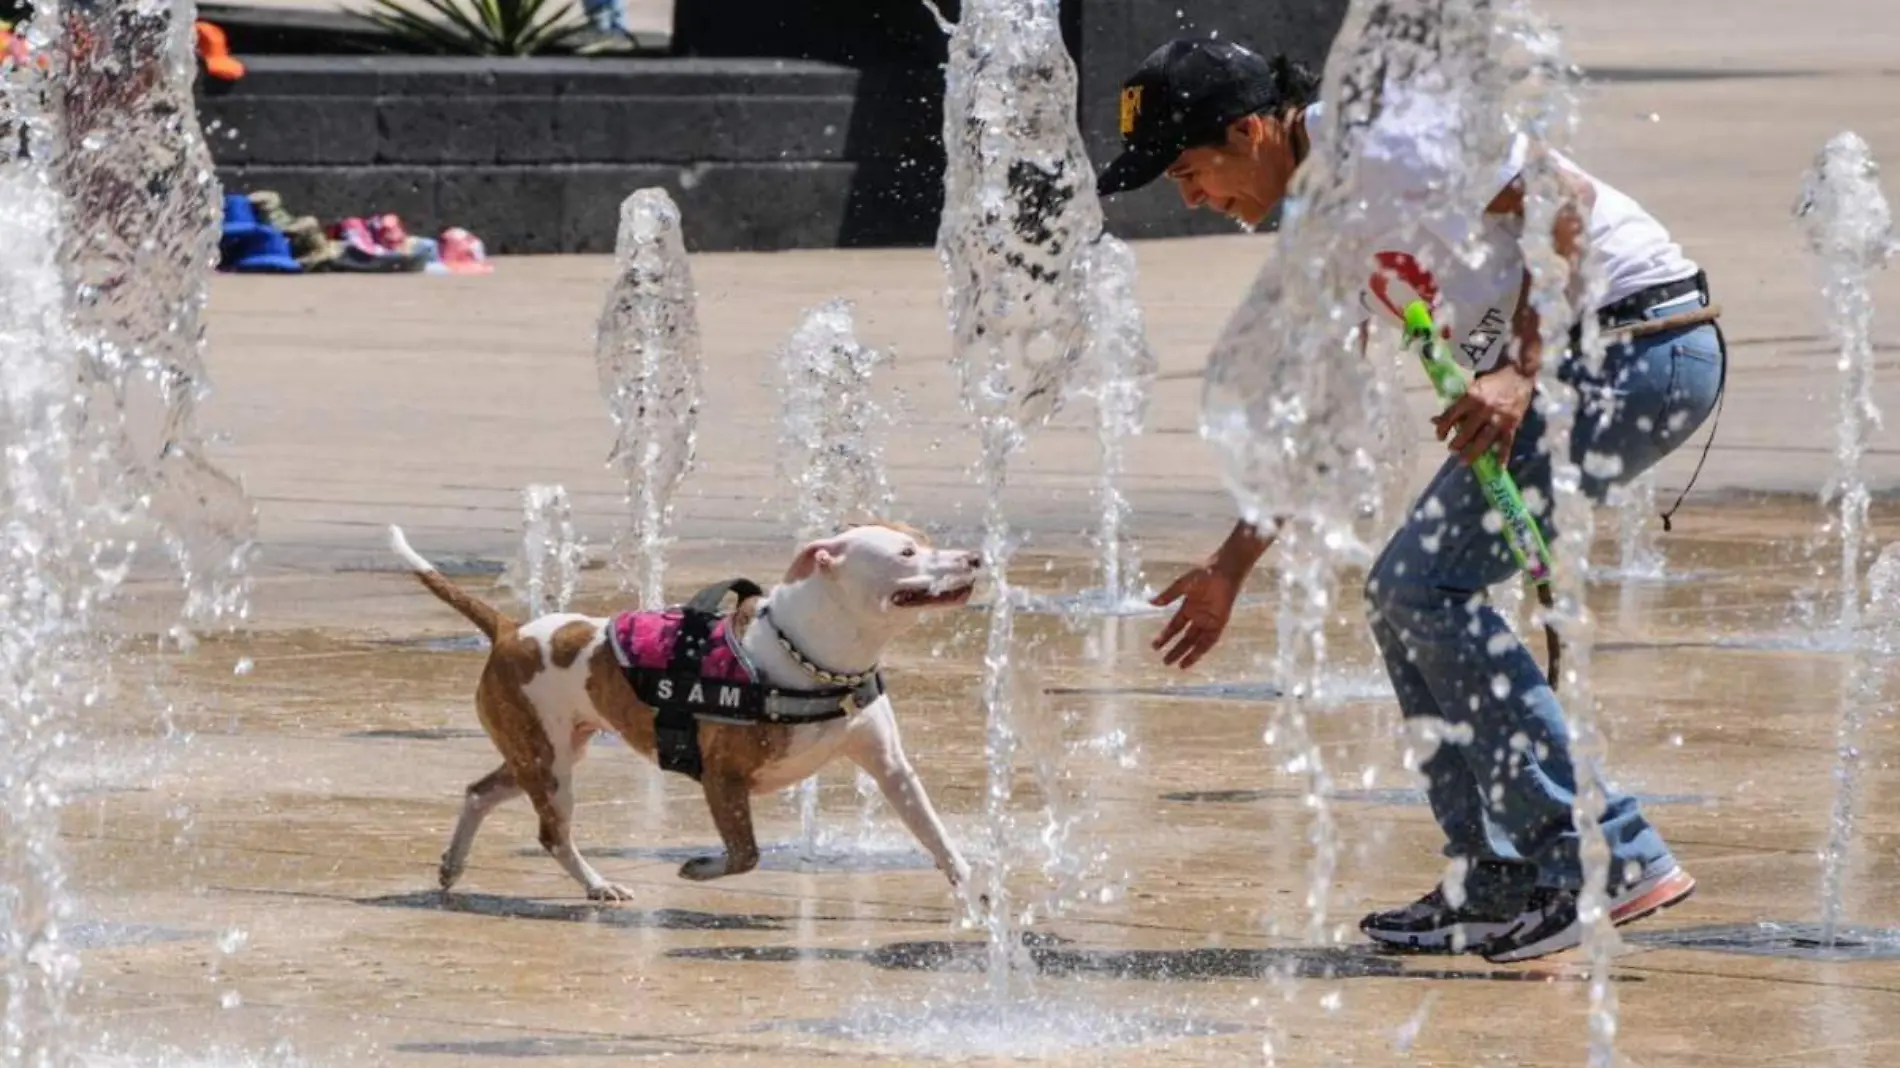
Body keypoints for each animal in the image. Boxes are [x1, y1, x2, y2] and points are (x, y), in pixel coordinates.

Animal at [385, 520, 980, 893]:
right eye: (906, 553)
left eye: (925, 540)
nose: (975, 556)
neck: (817, 658)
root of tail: (510, 631)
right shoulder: (724, 777)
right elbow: (746, 855)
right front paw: (699, 868)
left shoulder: (890, 768)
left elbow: (937, 836)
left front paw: (977, 897)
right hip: (547, 763)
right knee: (552, 834)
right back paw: (598, 886)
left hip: (544, 752)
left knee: (480, 792)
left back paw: (454, 864)